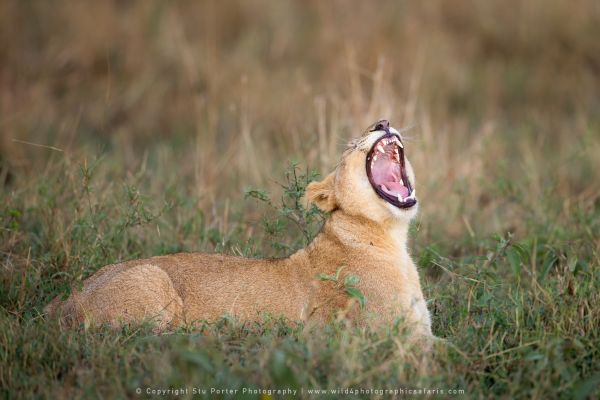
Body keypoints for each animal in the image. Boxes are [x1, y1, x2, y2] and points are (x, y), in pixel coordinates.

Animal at [45, 119, 432, 338]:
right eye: (352, 145)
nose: (381, 122)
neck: (390, 236)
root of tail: (64, 303)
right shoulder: (387, 334)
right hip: (152, 281)